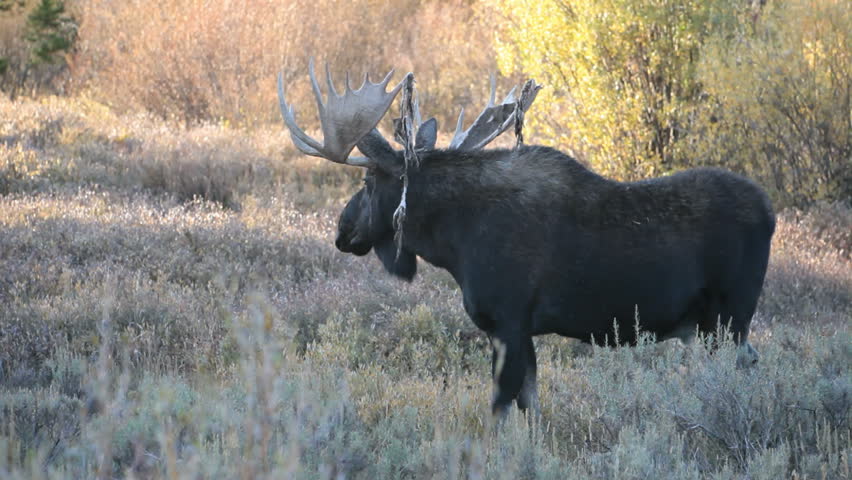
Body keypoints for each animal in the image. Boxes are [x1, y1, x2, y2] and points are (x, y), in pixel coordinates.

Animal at [277, 62, 775, 416]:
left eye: (366, 184)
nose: (342, 232)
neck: (454, 244)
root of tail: (771, 212)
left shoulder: (507, 323)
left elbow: (500, 411)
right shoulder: (522, 331)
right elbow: (531, 410)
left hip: (729, 316)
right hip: (709, 326)